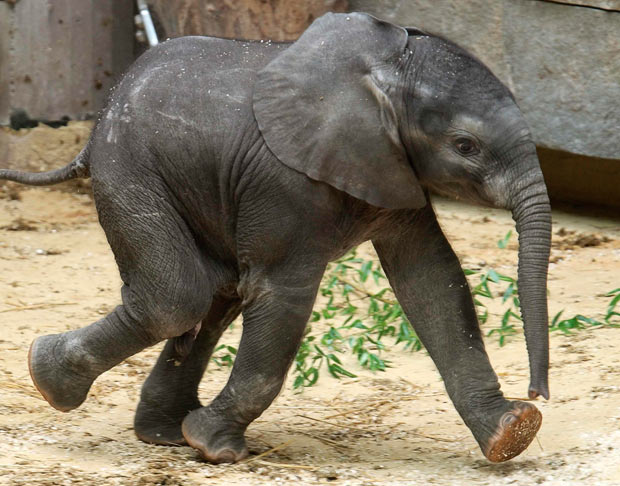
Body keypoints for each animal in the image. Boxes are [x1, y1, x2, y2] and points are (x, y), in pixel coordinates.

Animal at [0, 13, 552, 466]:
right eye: (465, 146)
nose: (538, 394)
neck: (385, 72)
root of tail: (95, 127)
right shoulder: (283, 181)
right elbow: (283, 296)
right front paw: (216, 449)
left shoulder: (392, 168)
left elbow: (433, 282)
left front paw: (513, 433)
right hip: (129, 168)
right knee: (176, 298)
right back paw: (49, 379)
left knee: (215, 295)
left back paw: (161, 434)